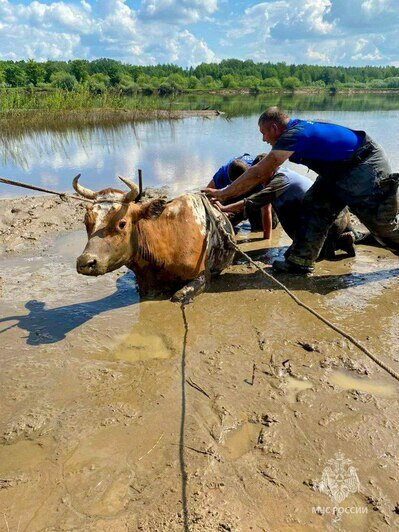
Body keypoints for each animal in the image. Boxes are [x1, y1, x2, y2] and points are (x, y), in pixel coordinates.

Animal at [74, 174, 234, 302]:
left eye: (122, 223)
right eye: (86, 221)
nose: (85, 262)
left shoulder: (202, 275)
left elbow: (178, 296)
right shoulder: (146, 286)